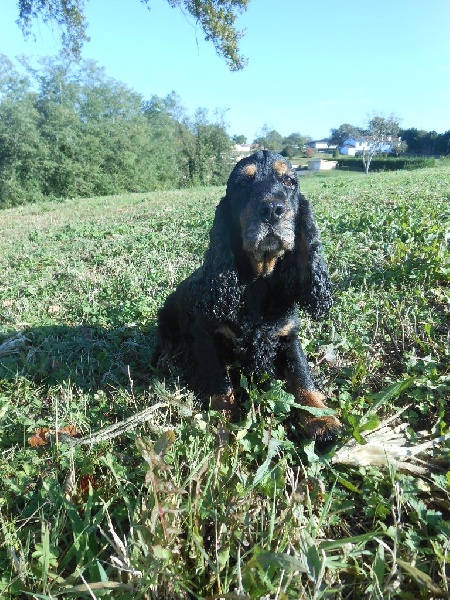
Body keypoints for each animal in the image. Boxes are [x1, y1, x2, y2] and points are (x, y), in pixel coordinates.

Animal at [153, 148, 342, 442]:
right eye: (243, 183)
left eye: (289, 181)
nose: (272, 209)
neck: (258, 281)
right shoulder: (206, 335)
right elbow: (220, 384)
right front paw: (226, 422)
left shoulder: (287, 336)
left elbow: (302, 375)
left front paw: (320, 418)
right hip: (166, 314)